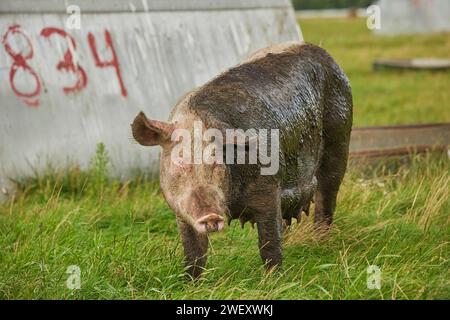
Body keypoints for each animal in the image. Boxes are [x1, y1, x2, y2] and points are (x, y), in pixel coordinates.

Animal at [132, 42, 354, 278]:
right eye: (180, 161)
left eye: (216, 162)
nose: (210, 215)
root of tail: (323, 53)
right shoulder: (181, 213)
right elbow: (193, 251)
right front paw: (191, 281)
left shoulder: (269, 188)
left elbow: (268, 241)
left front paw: (274, 279)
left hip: (340, 138)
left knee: (326, 196)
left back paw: (320, 240)